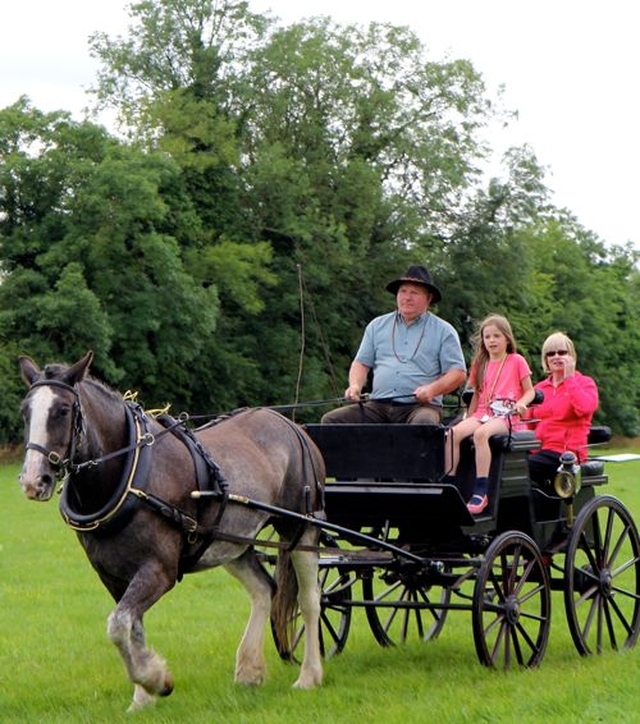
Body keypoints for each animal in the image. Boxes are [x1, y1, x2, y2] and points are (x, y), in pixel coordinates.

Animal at [17, 352, 328, 712]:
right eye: (26, 411)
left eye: (63, 410)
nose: (33, 481)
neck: (131, 474)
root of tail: (291, 425)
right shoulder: (113, 576)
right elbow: (131, 626)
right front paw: (142, 697)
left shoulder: (159, 571)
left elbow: (118, 625)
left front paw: (155, 680)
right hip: (231, 542)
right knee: (264, 590)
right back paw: (249, 670)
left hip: (301, 528)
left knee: (310, 600)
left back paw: (309, 675)